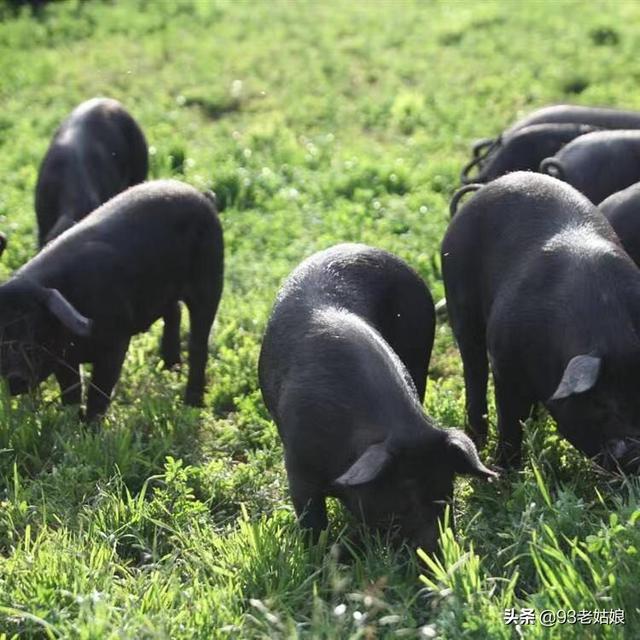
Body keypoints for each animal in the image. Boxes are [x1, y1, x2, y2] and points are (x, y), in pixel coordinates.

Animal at [0, 180, 222, 420]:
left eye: (34, 327)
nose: (15, 378)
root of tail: (200, 194)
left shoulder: (116, 343)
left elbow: (99, 392)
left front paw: (90, 425)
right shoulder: (64, 359)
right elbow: (71, 391)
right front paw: (73, 421)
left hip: (211, 280)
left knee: (199, 342)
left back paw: (192, 404)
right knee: (174, 313)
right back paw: (170, 369)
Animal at [258, 244, 492, 552]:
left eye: (447, 492)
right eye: (404, 497)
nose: (439, 552)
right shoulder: (297, 464)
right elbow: (311, 518)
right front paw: (315, 554)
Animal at [442, 172, 640, 472]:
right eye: (602, 404)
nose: (635, 454)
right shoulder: (503, 361)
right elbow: (509, 419)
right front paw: (504, 471)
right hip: (459, 298)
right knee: (473, 367)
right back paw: (477, 439)